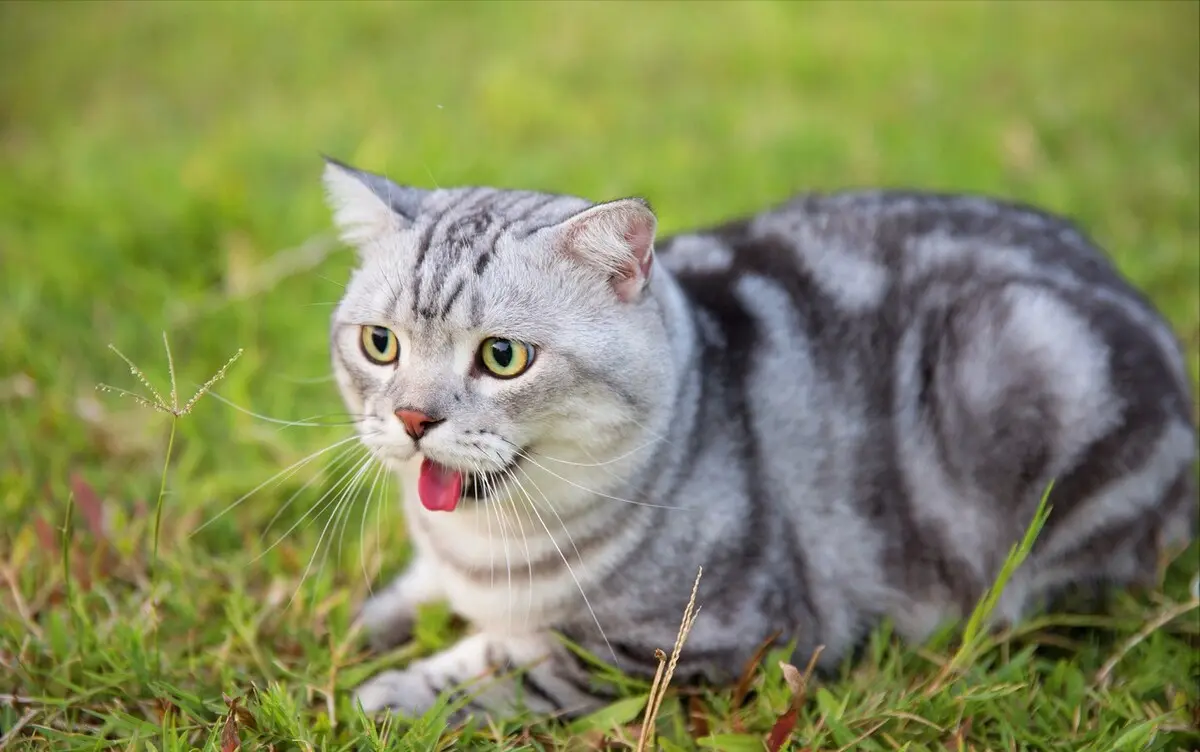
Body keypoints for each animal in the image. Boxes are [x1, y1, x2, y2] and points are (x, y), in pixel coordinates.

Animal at [321, 154, 1200, 724]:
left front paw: (390, 692)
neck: (486, 554)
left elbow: (514, 664)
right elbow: (400, 597)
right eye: (380, 344)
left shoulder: (697, 640)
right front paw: (352, 628)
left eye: (503, 357)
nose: (412, 419)